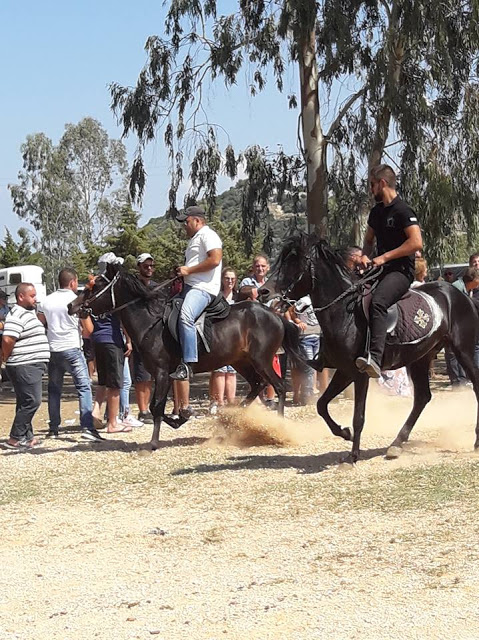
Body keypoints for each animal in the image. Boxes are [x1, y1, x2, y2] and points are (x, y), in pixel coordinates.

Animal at [69, 262, 306, 448]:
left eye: (95, 286)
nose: (72, 305)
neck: (151, 323)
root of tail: (276, 316)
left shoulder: (162, 372)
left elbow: (157, 407)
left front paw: (154, 442)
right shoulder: (161, 374)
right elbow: (156, 406)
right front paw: (179, 418)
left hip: (261, 361)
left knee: (279, 387)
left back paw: (278, 429)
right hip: (241, 362)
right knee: (257, 385)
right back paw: (231, 419)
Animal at [260, 232, 479, 462]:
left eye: (295, 262)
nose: (264, 291)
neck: (345, 315)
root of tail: (461, 296)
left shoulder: (361, 373)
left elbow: (358, 416)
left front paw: (353, 455)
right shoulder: (345, 370)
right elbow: (321, 405)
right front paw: (344, 433)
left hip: (463, 351)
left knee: (473, 386)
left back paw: (475, 440)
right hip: (420, 358)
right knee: (422, 397)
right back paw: (396, 444)